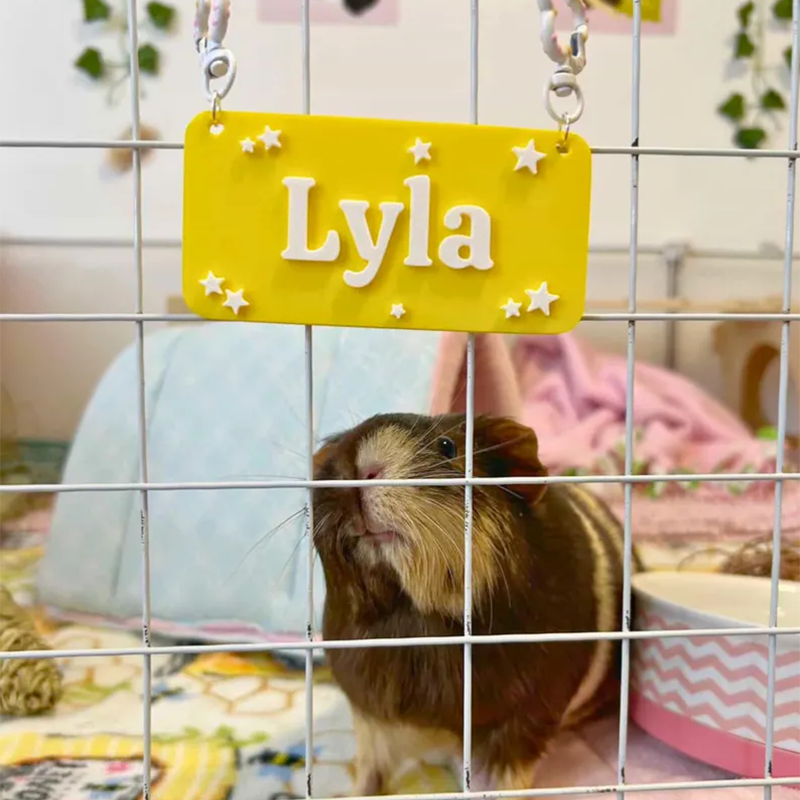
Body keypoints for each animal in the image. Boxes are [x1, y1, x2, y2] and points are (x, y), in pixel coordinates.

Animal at [312, 413, 641, 794]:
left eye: (447, 446)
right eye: (336, 449)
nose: (358, 467)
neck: (412, 617)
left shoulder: (527, 722)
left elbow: (510, 780)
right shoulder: (369, 716)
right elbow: (369, 773)